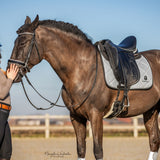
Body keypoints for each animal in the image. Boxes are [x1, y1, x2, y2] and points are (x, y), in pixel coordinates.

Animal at [8, 14, 160, 159]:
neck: (82, 70)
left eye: (23, 42)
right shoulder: (76, 117)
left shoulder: (96, 115)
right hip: (151, 111)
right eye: (15, 42)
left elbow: (98, 151)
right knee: (154, 142)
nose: (11, 72)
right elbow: (81, 149)